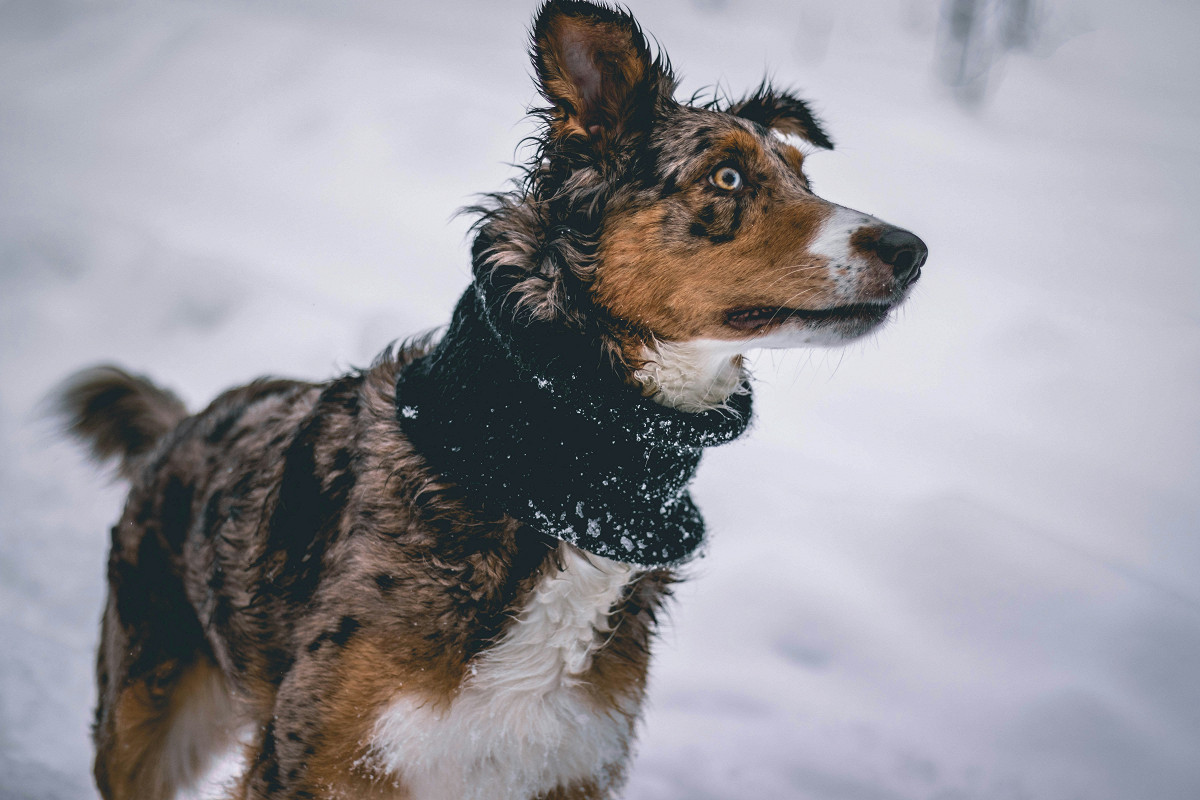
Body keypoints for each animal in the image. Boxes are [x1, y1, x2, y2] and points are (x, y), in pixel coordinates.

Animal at [60, 3, 926, 796]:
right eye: (728, 176)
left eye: (804, 176)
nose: (913, 249)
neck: (552, 476)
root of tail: (183, 425)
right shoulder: (310, 758)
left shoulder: (568, 766)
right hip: (140, 725)